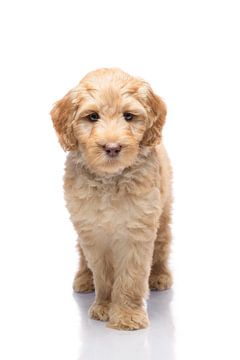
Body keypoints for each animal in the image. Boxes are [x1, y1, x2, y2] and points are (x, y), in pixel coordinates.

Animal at [51, 67, 173, 330]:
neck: (110, 180)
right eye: (92, 117)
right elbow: (103, 273)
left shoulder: (138, 229)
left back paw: (159, 276)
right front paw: (105, 306)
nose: (112, 147)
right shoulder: (92, 232)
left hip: (163, 211)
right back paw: (84, 279)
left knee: (162, 243)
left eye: (128, 116)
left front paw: (127, 314)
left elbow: (131, 276)